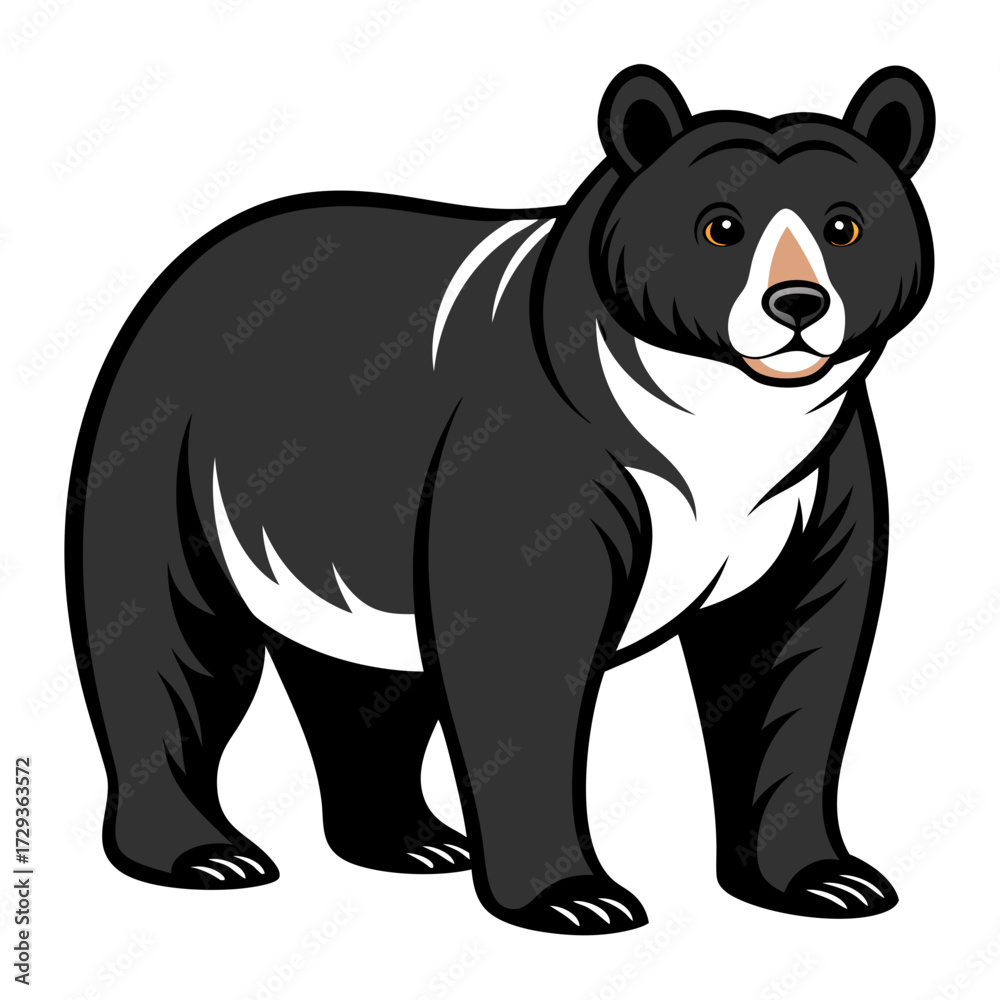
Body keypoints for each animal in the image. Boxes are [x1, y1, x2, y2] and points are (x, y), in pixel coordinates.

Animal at [66, 63, 934, 935]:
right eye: (722, 225)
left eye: (844, 225)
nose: (798, 304)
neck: (725, 417)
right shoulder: (547, 440)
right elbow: (522, 649)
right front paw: (576, 896)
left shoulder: (813, 476)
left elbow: (795, 654)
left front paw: (827, 880)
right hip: (174, 449)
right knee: (167, 633)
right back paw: (204, 853)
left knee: (369, 683)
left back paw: (411, 841)